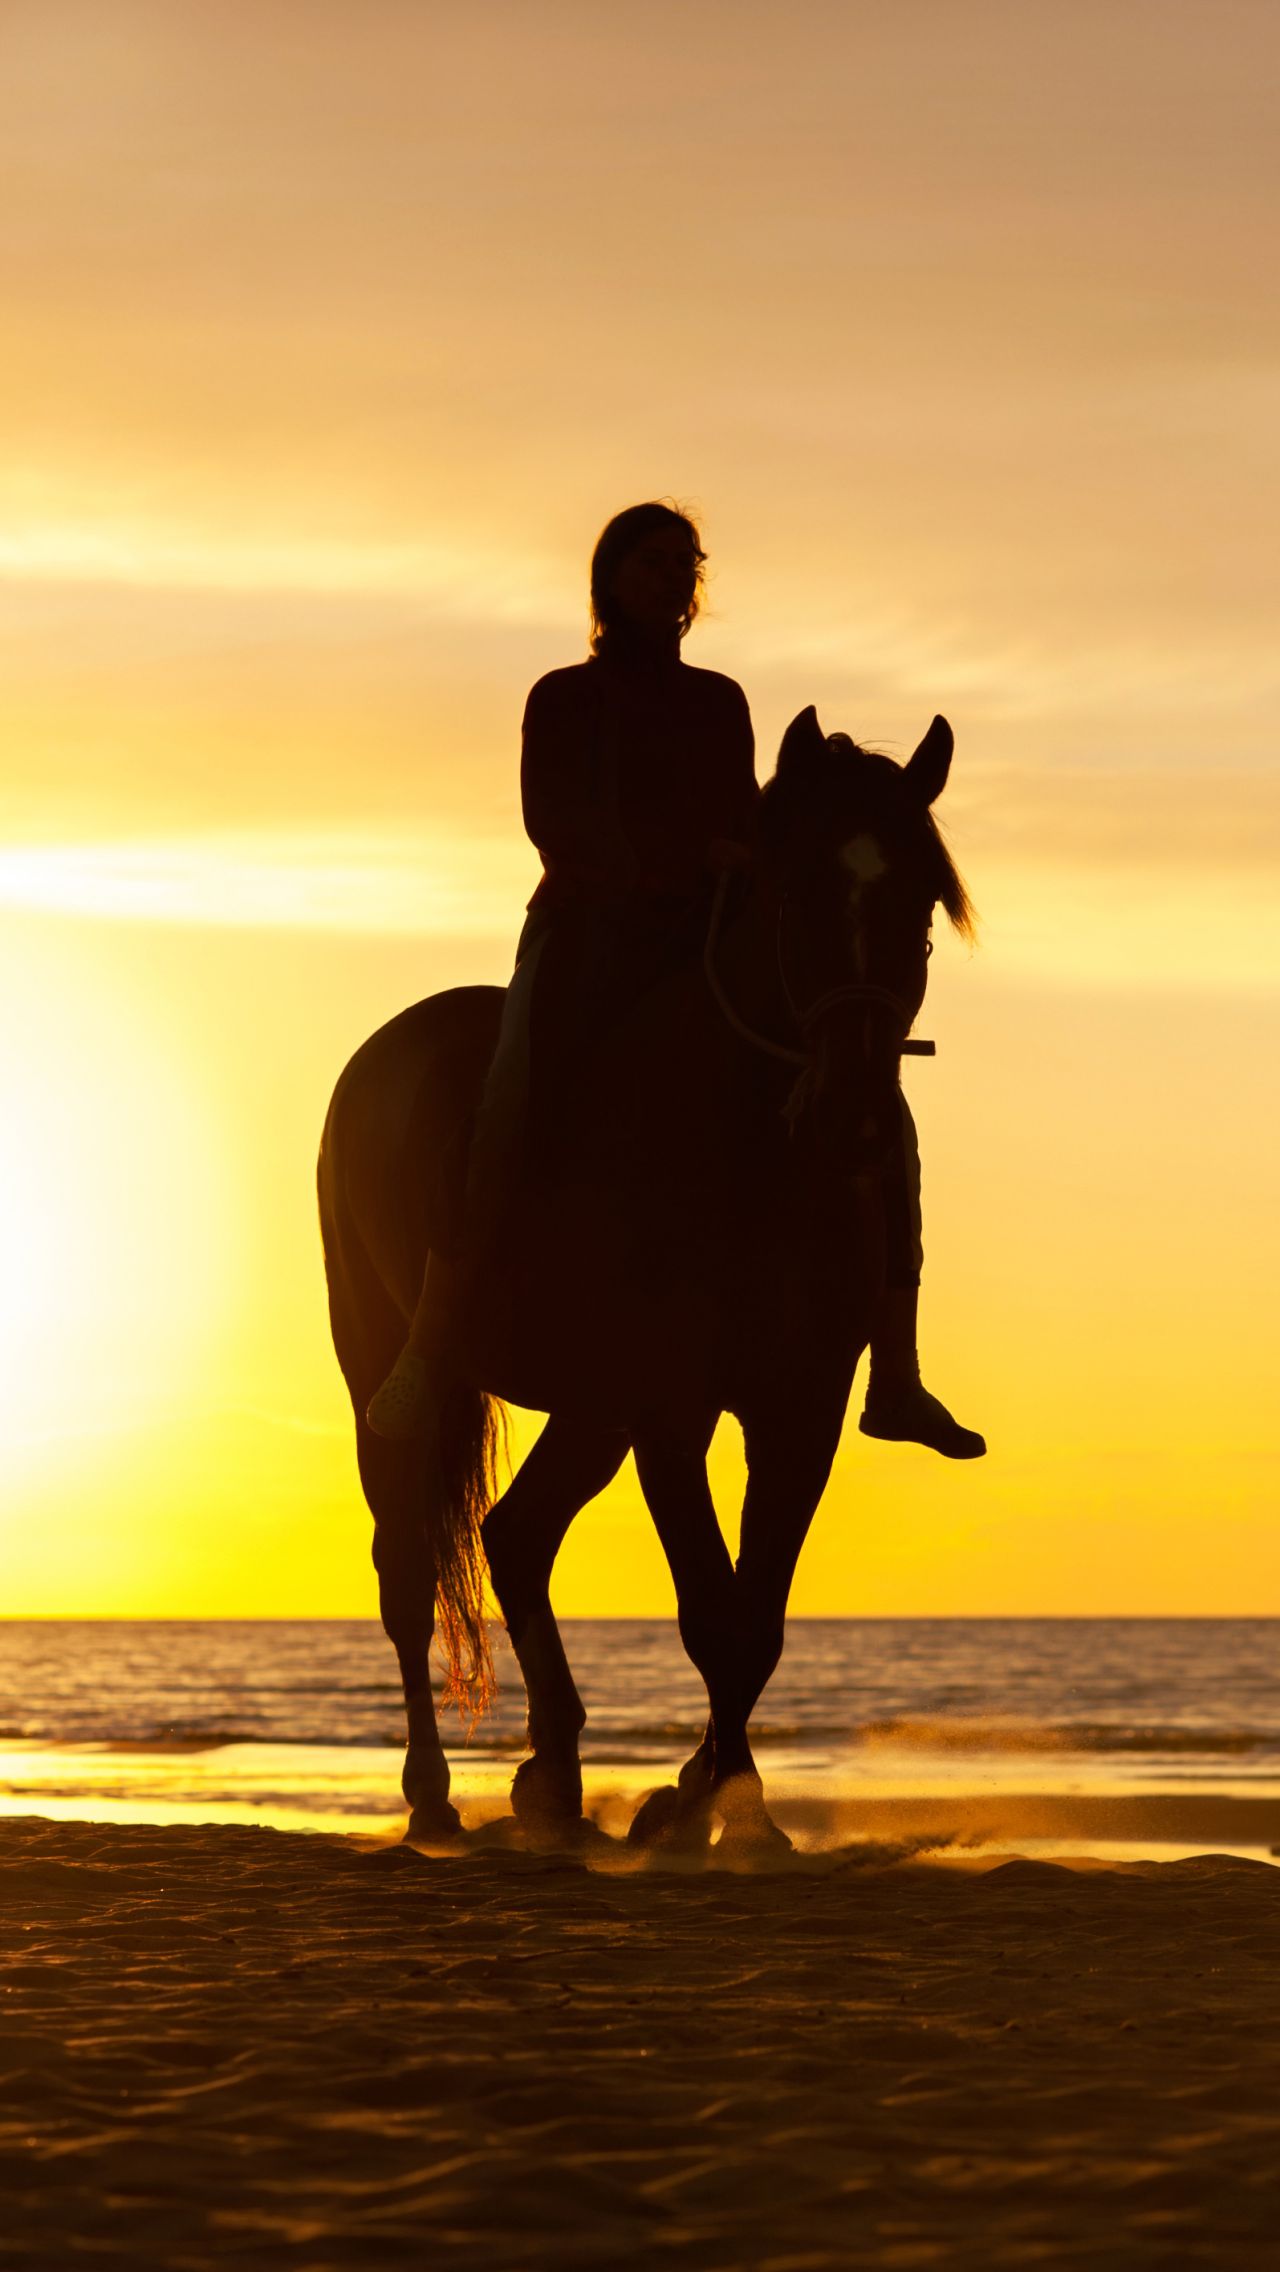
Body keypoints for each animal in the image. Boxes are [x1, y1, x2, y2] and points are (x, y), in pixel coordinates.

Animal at [318, 699, 973, 1853]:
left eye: (922, 901)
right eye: (792, 890)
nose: (854, 1113)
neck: (746, 1149)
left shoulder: (796, 1410)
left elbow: (757, 1620)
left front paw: (707, 1798)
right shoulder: (673, 1408)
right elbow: (712, 1613)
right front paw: (715, 1809)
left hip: (592, 1406)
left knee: (515, 1537)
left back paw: (553, 1781)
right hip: (385, 1366)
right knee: (406, 1569)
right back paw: (434, 1795)